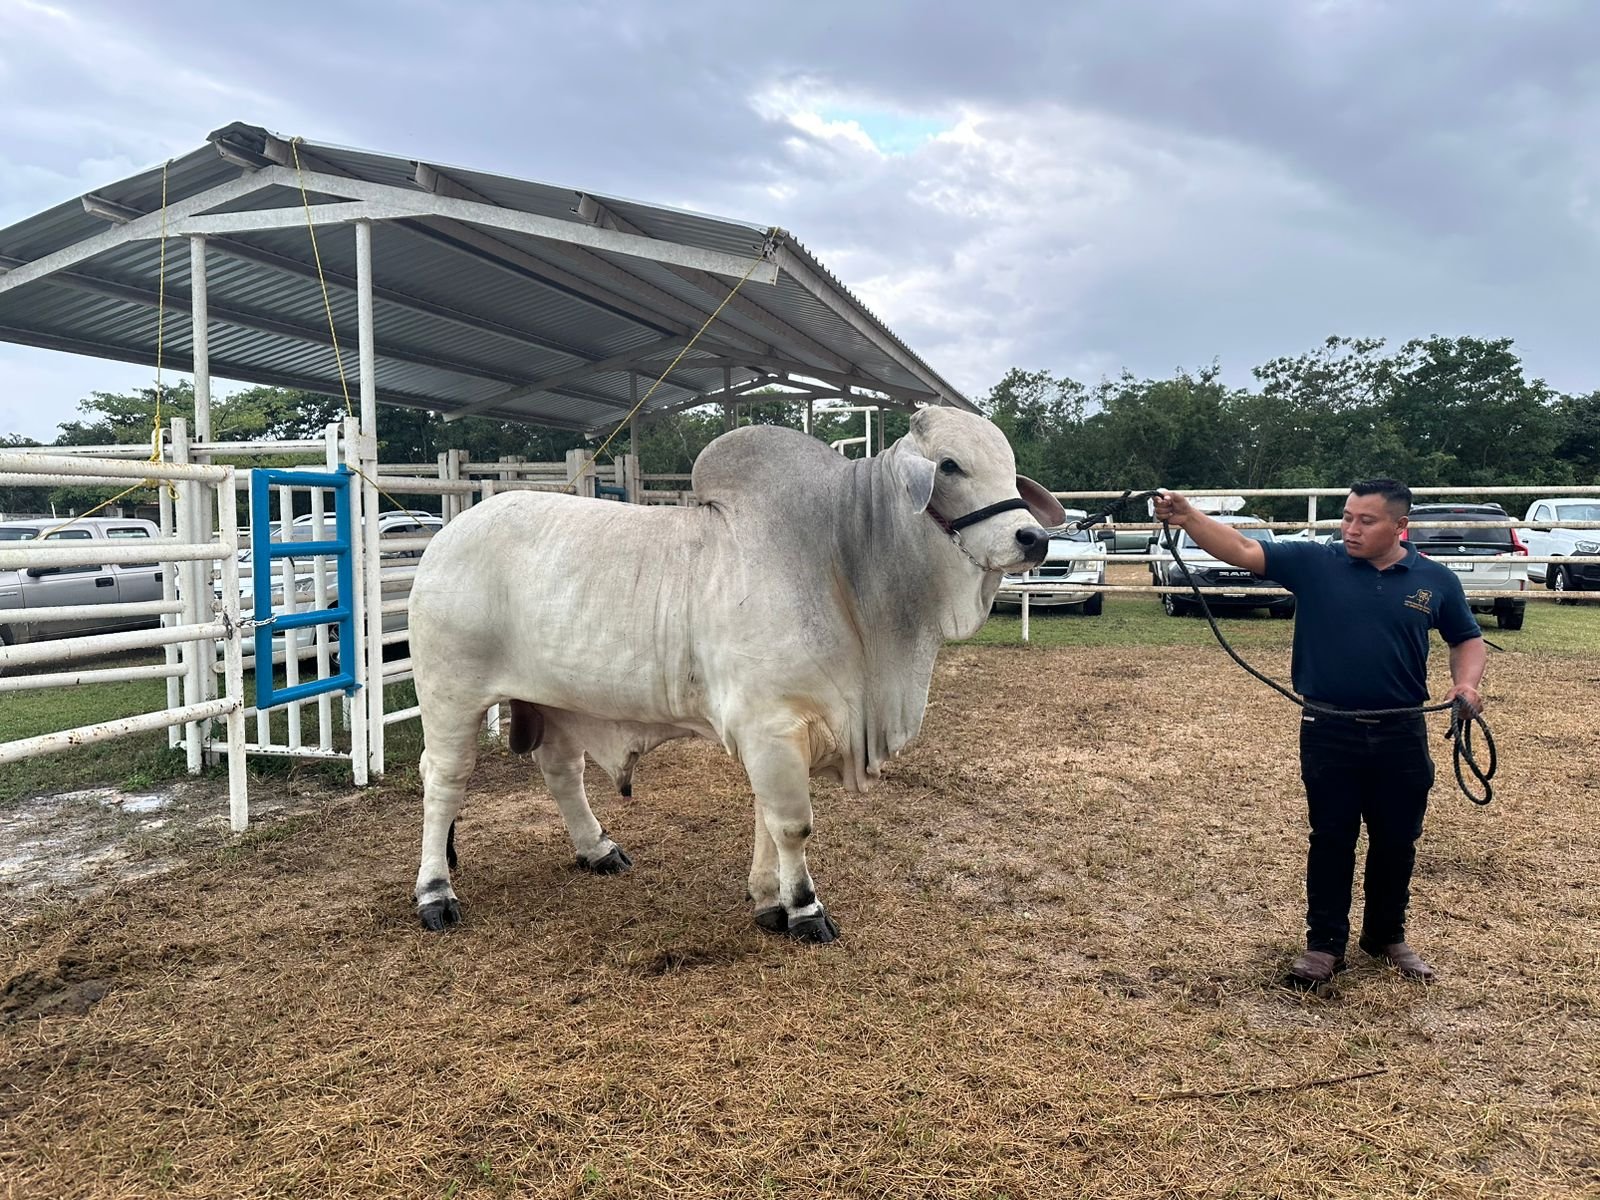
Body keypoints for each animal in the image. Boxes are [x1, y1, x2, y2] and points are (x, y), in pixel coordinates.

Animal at [406, 405, 1065, 939]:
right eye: (950, 465)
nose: (1032, 537)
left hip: (558, 700)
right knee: (443, 782)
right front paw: (805, 910)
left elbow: (766, 820)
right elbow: (793, 825)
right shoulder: (771, 725)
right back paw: (435, 894)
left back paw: (597, 849)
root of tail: (448, 534)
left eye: (1009, 467)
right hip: (451, 695)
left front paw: (769, 901)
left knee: (562, 772)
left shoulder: (777, 733)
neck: (841, 561)